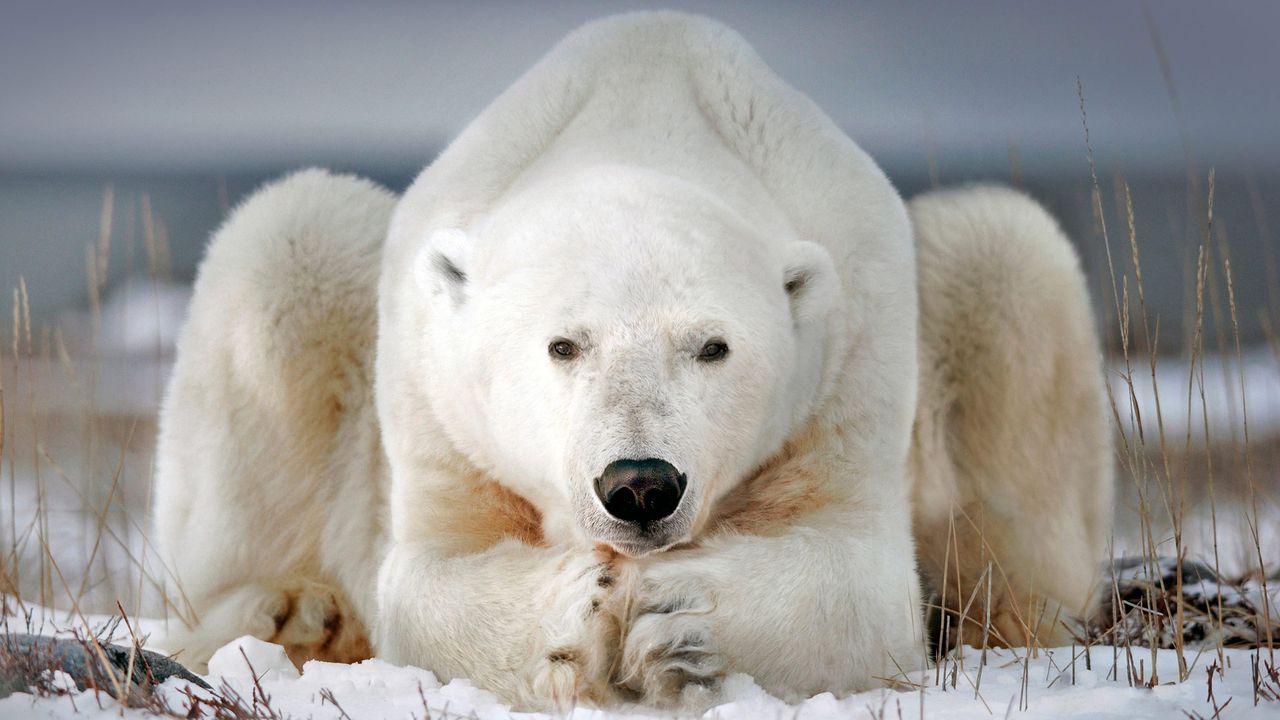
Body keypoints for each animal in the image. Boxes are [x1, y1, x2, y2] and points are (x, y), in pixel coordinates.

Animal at [151, 11, 1112, 712]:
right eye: (562, 344)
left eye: (713, 346)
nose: (641, 485)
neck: (643, 116)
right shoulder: (437, 397)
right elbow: (430, 575)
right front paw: (580, 608)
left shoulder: (851, 352)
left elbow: (859, 578)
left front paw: (672, 617)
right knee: (288, 243)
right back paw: (293, 612)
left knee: (1005, 261)